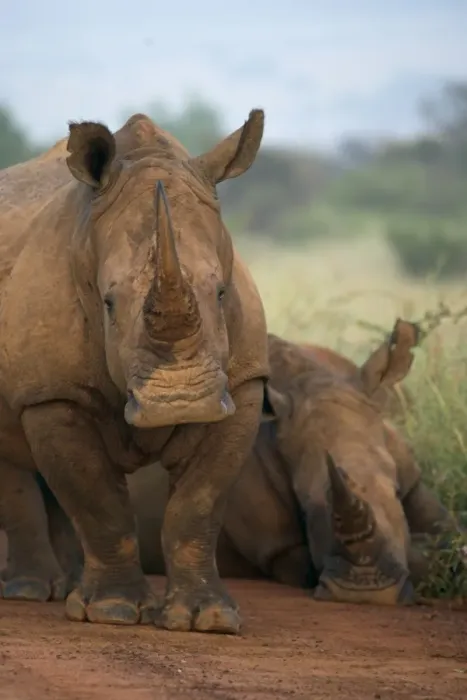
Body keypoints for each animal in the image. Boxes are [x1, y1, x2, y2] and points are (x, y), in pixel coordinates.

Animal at [0, 110, 269, 633]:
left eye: (222, 293)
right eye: (108, 303)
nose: (181, 402)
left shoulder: (244, 383)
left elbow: (198, 505)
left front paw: (208, 618)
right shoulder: (54, 393)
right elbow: (97, 501)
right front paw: (113, 611)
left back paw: (66, 587)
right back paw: (29, 593)